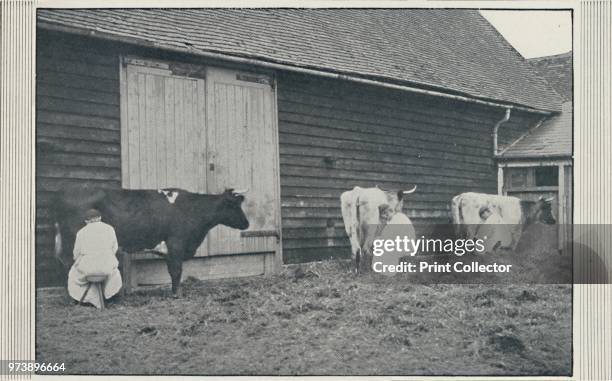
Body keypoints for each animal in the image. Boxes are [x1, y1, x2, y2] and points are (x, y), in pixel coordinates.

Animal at [52, 186, 249, 296]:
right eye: (234, 205)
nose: (247, 223)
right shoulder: (176, 244)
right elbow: (176, 271)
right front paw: (177, 294)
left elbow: (172, 272)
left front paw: (174, 291)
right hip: (72, 242)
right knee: (70, 265)